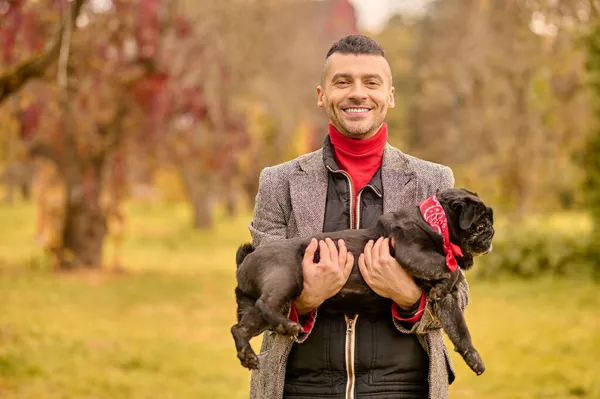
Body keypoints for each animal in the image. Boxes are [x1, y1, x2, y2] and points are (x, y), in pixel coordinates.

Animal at [230, 188, 492, 376]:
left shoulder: (448, 305)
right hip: (285, 279)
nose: (491, 234)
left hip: (260, 309)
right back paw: (287, 326)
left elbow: (460, 330)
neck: (435, 222)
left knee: (239, 328)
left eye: (487, 226)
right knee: (265, 304)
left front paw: (473, 357)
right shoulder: (413, 252)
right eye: (480, 226)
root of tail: (246, 261)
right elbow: (452, 270)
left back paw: (248, 354)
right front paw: (446, 281)